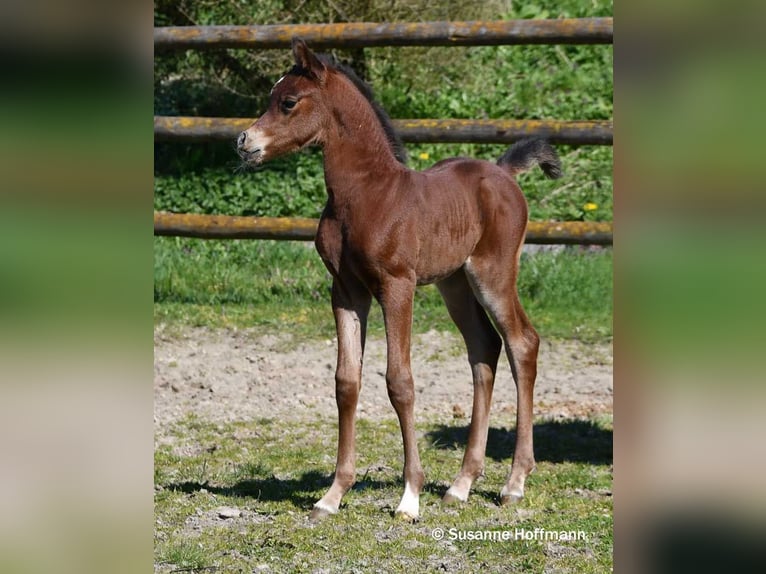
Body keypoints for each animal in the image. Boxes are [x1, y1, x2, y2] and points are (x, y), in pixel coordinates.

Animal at [237, 38, 562, 521]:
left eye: (288, 102)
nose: (243, 142)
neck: (366, 194)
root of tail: (504, 172)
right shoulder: (346, 290)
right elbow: (346, 382)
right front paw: (332, 495)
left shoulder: (397, 285)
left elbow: (400, 381)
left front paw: (409, 496)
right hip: (454, 283)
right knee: (484, 348)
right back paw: (461, 485)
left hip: (493, 273)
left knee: (522, 342)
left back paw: (514, 483)